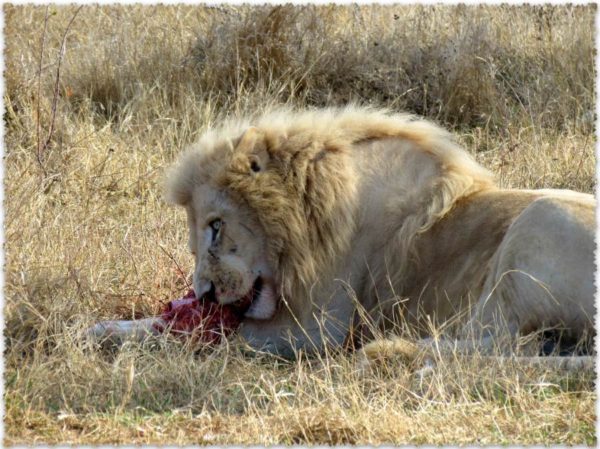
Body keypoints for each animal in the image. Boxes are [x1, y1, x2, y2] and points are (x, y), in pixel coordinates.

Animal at [88, 105, 596, 368]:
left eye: (216, 226)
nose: (206, 294)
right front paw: (101, 328)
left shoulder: (317, 329)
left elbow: (210, 337)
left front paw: (120, 332)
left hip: (536, 222)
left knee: (506, 345)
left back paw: (393, 348)